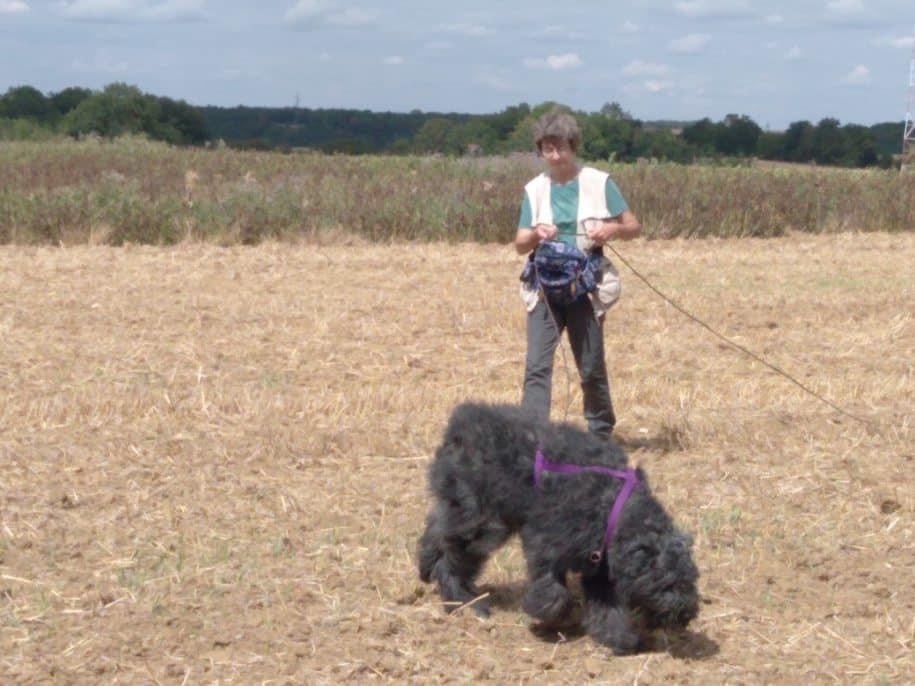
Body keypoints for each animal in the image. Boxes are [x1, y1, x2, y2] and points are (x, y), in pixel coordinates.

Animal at [416, 404, 700, 656]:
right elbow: (554, 594)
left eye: (691, 579)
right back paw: (464, 602)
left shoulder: (599, 565)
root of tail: (459, 425)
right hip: (481, 523)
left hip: (465, 510)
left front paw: (617, 637)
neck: (613, 507)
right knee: (453, 558)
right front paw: (551, 619)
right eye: (667, 583)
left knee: (437, 530)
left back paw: (427, 567)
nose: (687, 614)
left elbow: (607, 604)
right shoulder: (546, 545)